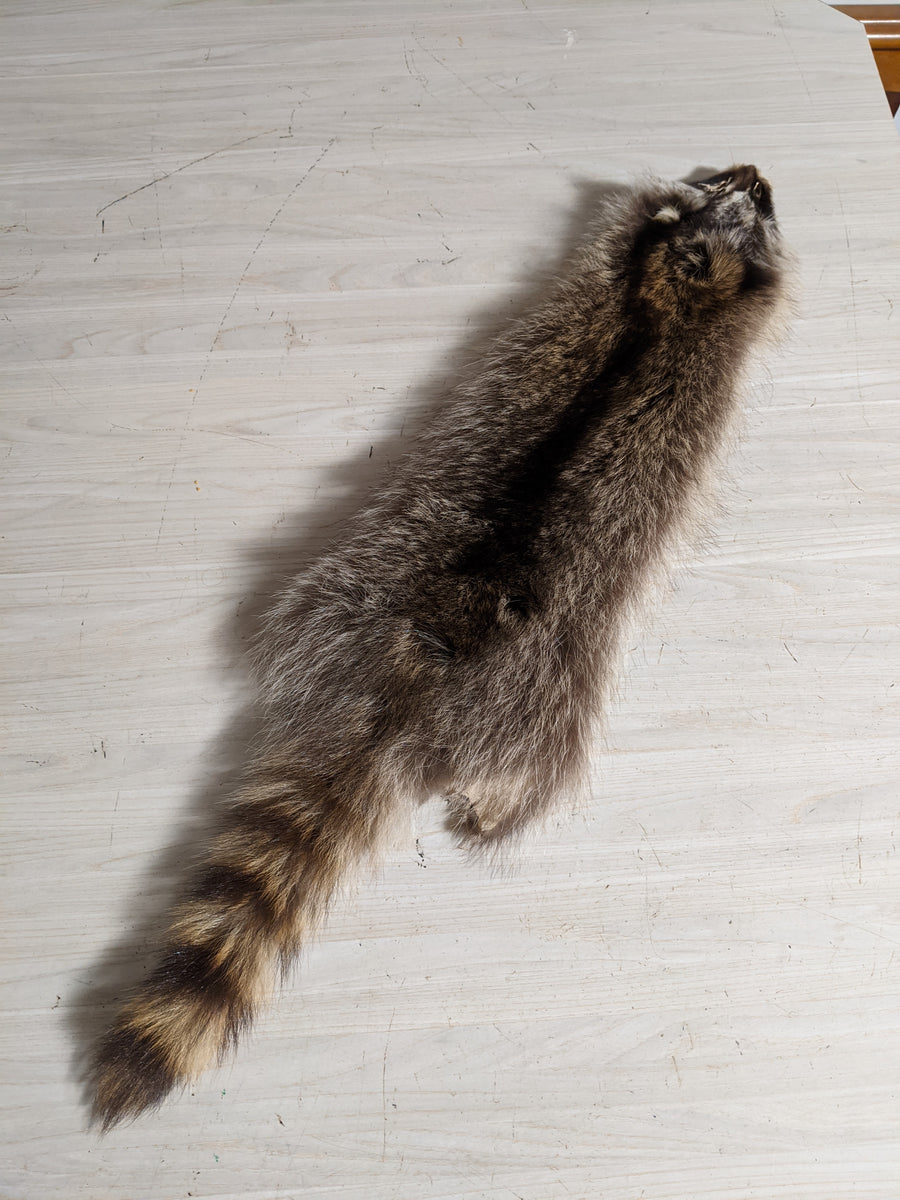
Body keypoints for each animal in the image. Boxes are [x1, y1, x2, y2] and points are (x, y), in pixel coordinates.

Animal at [92, 165, 786, 1127]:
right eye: (742, 194)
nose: (758, 172)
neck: (671, 284)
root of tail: (412, 676)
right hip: (552, 696)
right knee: (545, 769)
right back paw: (503, 810)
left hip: (335, 587)